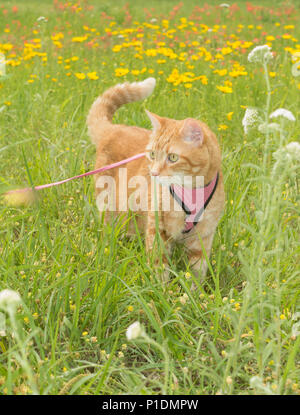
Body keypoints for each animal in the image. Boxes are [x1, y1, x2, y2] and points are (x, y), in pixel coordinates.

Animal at [86, 78, 225, 282]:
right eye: (152, 154)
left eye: (173, 157)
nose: (154, 173)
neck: (191, 190)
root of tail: (115, 129)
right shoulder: (157, 228)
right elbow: (159, 263)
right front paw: (161, 287)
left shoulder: (203, 237)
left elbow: (196, 272)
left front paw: (196, 291)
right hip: (111, 207)